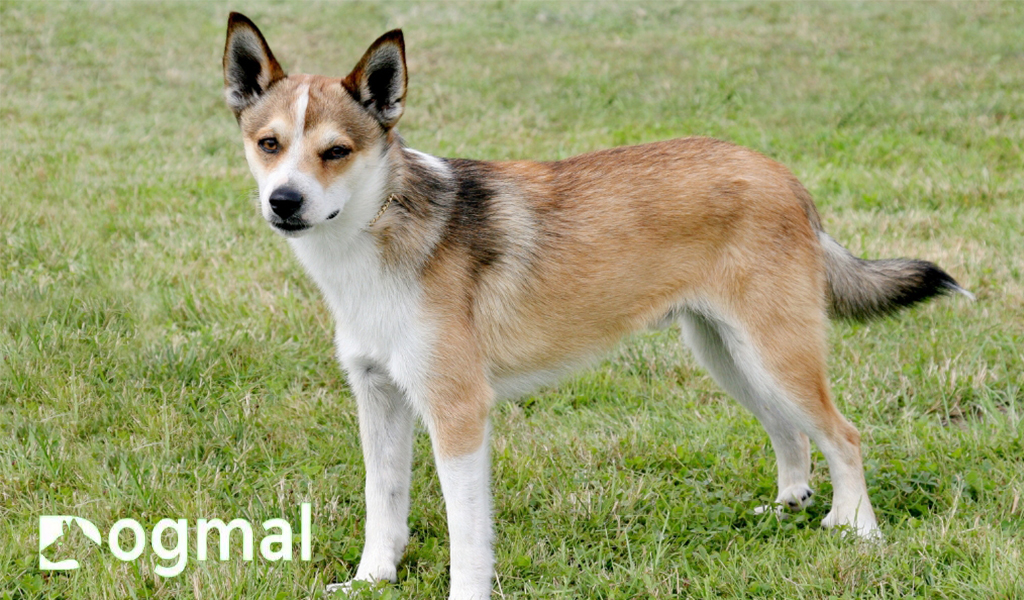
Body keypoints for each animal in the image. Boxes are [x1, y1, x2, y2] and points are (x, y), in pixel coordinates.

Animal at [222, 12, 966, 593]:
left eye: (336, 151)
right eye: (269, 145)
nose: (283, 202)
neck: (381, 232)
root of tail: (783, 176)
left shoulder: (458, 413)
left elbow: (467, 537)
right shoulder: (379, 397)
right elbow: (384, 502)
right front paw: (372, 579)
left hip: (776, 353)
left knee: (844, 435)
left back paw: (858, 531)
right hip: (730, 356)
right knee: (792, 435)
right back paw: (791, 509)